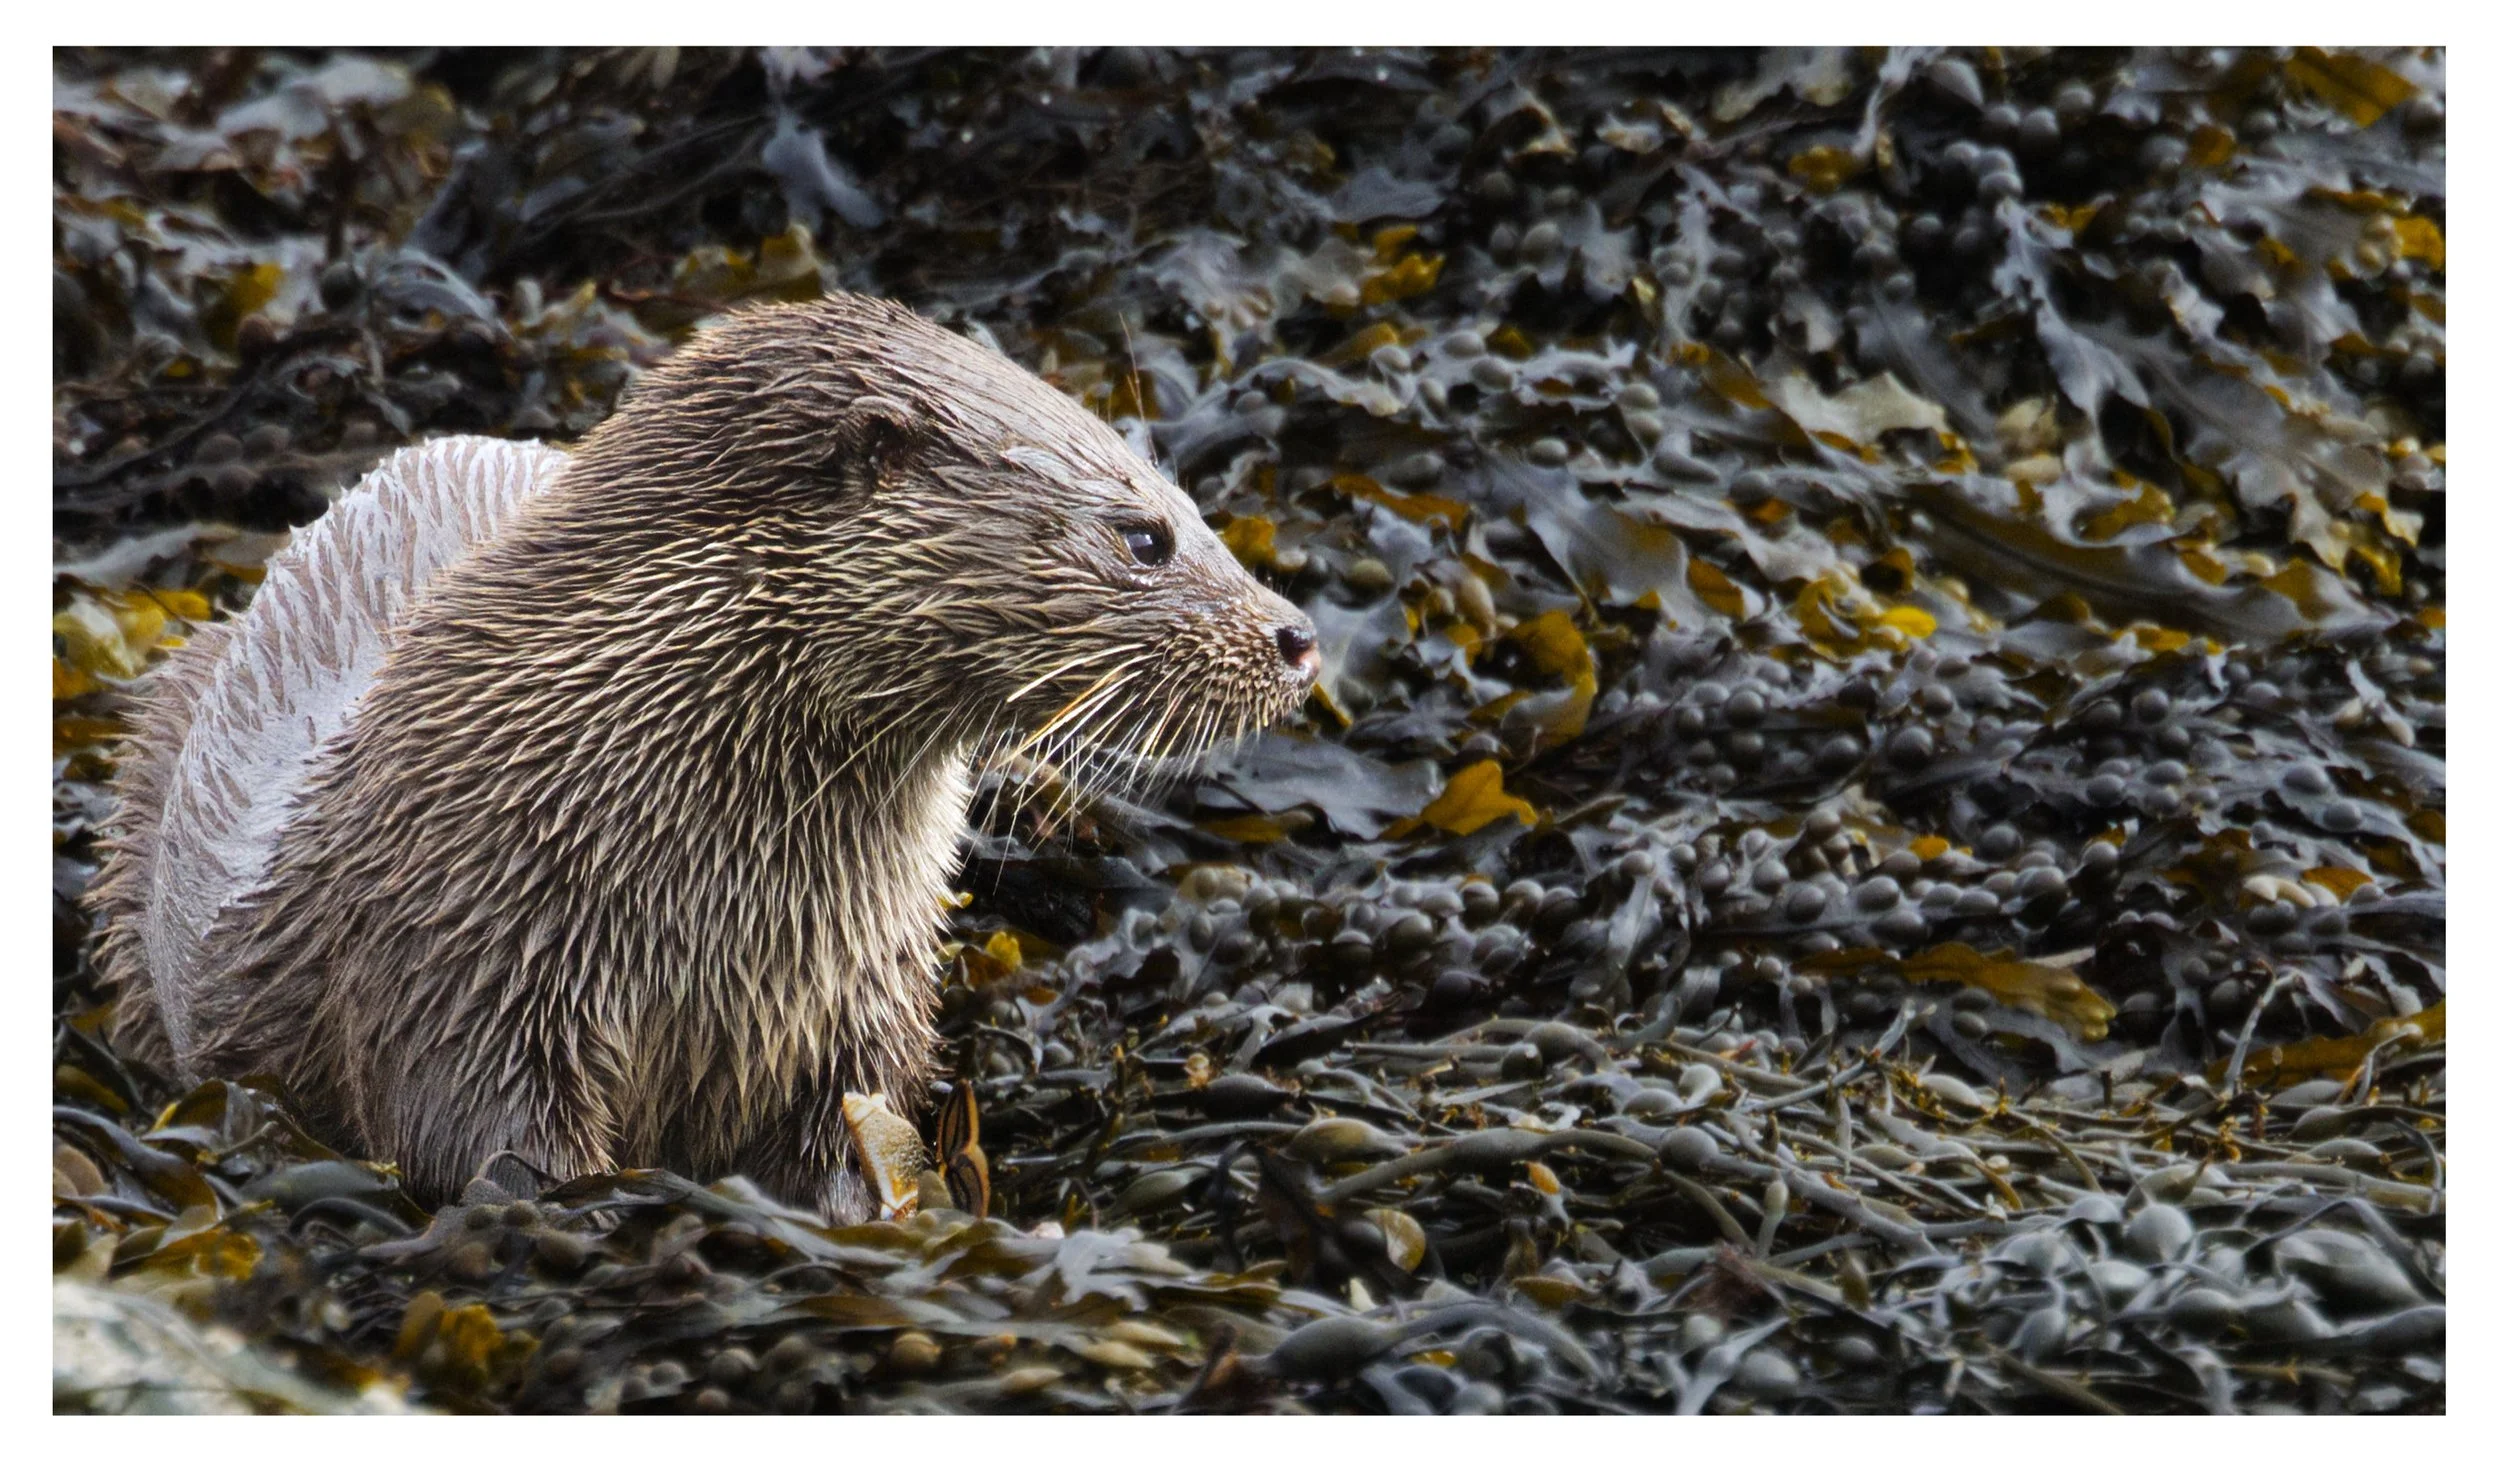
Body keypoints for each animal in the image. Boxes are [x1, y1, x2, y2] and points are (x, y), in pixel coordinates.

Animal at [88, 293, 1319, 1215]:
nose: (1297, 635)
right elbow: (485, 1151)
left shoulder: (860, 1002)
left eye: (1194, 508)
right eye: (1144, 535)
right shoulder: (457, 971)